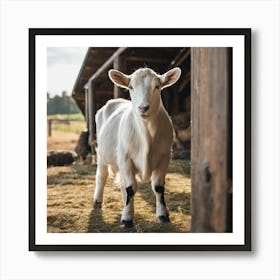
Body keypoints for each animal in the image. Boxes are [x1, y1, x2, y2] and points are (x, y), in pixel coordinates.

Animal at [94, 66, 182, 228]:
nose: (143, 107)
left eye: (157, 86)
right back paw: (97, 201)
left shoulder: (165, 157)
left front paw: (163, 215)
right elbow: (131, 188)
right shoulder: (126, 158)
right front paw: (127, 219)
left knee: (122, 183)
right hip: (102, 155)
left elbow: (158, 187)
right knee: (102, 177)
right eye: (131, 87)